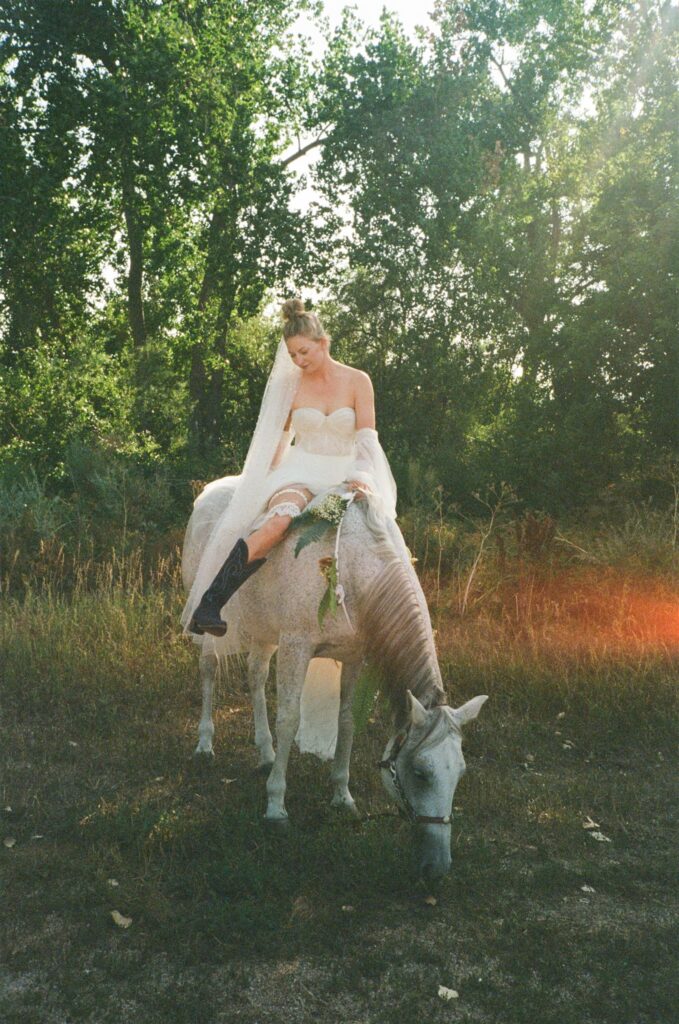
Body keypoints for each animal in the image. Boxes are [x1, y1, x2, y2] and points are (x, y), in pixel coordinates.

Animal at [182, 487, 489, 880]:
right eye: (421, 773)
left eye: (461, 773)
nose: (437, 868)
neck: (354, 569)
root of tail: (209, 493)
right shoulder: (296, 646)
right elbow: (289, 720)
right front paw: (276, 808)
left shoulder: (354, 657)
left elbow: (347, 721)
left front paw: (342, 796)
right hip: (212, 625)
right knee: (209, 670)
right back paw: (205, 744)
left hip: (265, 629)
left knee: (255, 675)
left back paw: (265, 754)